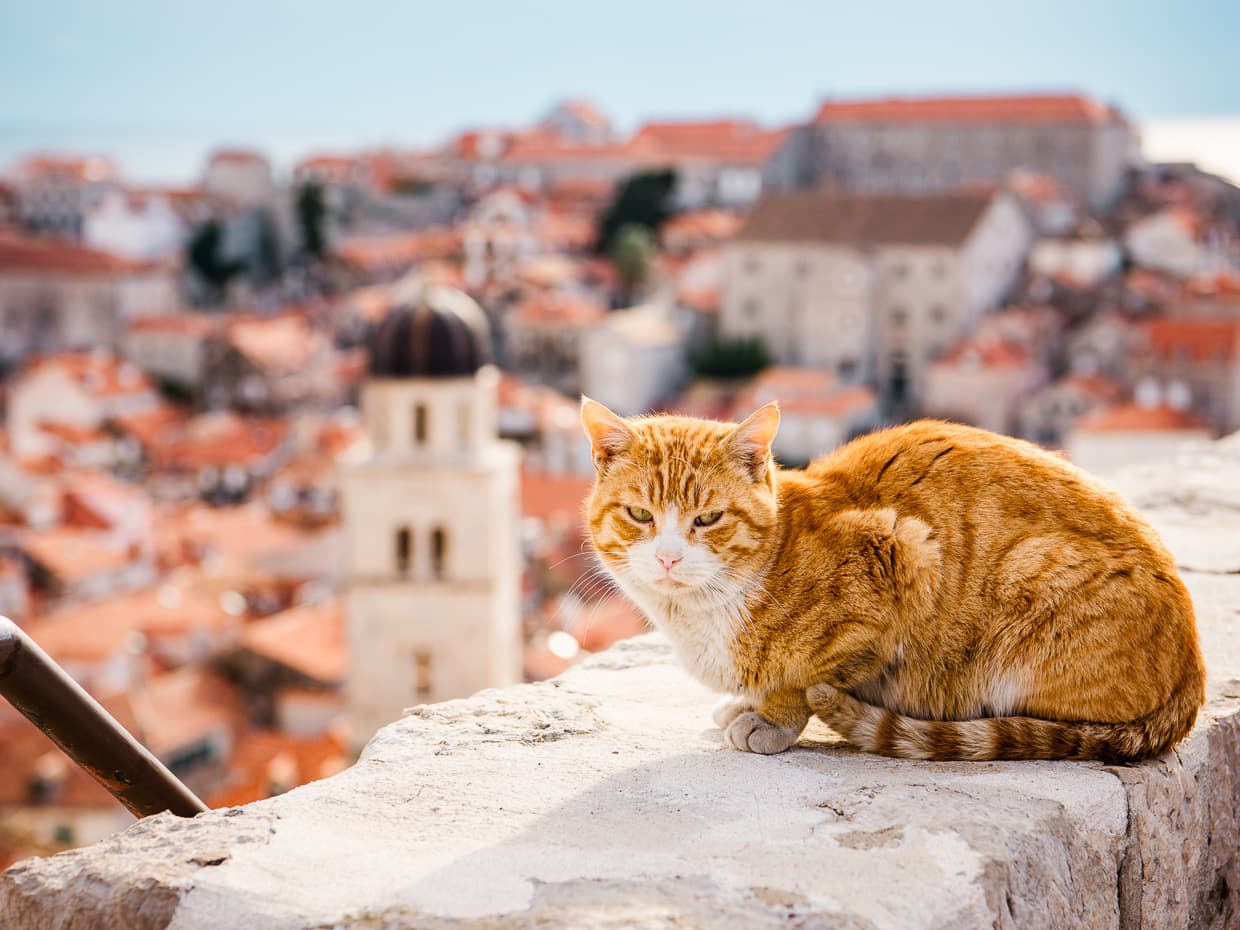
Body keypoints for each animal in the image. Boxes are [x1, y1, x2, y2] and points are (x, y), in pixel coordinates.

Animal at [582, 401, 1210, 763]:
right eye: (640, 515)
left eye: (708, 519)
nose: (668, 558)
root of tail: (1194, 675)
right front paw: (747, 704)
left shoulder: (902, 555)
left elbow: (803, 679)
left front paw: (772, 719)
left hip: (1032, 575)